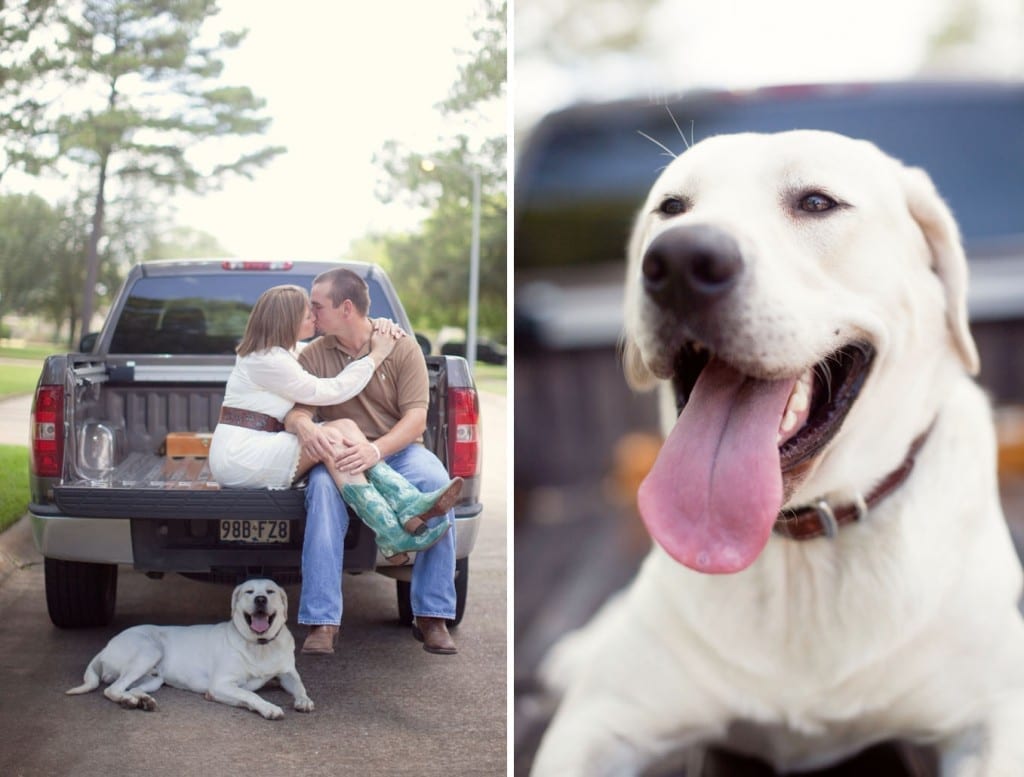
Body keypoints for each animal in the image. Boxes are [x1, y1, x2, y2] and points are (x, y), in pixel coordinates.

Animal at [66, 581, 311, 720]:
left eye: (270, 592)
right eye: (249, 592)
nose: (260, 599)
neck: (260, 645)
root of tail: (106, 645)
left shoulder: (287, 674)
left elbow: (299, 685)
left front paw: (303, 700)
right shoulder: (220, 685)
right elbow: (250, 694)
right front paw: (269, 708)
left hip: (154, 678)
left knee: (129, 688)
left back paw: (141, 700)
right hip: (148, 651)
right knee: (112, 689)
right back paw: (129, 701)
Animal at [532, 130, 1024, 773]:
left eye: (817, 203)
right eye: (672, 208)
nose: (679, 262)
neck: (804, 551)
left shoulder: (993, 715)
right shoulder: (599, 723)